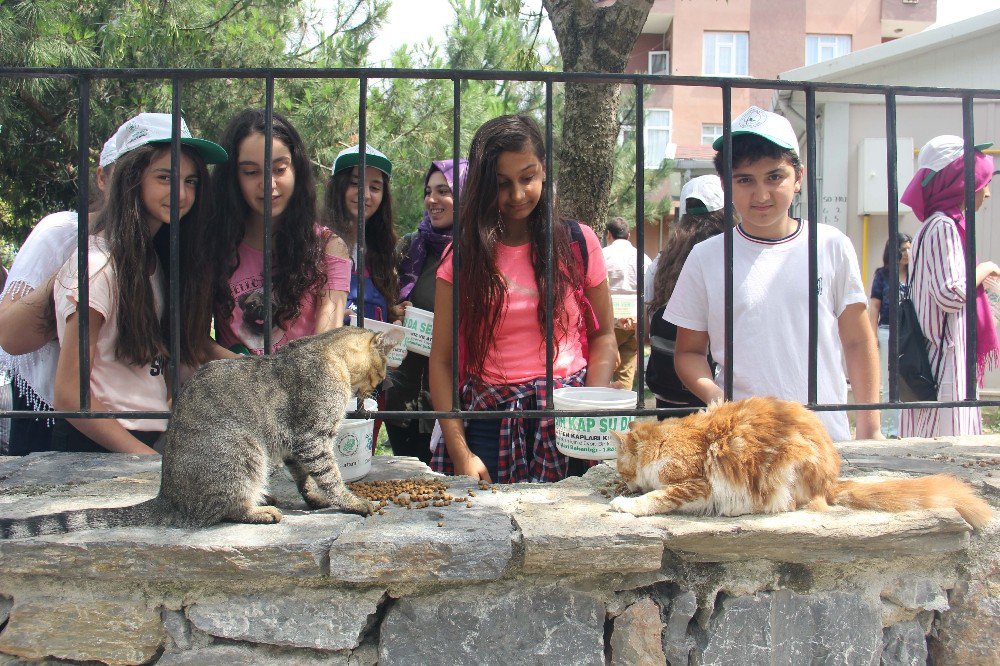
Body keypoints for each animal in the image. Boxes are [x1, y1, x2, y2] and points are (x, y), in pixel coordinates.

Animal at [4, 324, 402, 536]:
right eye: (382, 370)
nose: (382, 385)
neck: (328, 352)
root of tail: (167, 495)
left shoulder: (295, 446)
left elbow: (305, 479)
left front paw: (315, 499)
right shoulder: (312, 437)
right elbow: (331, 477)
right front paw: (351, 502)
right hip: (244, 449)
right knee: (222, 510)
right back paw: (259, 510)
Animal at [608, 394, 992, 528]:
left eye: (622, 467)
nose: (622, 481)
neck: (667, 439)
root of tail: (831, 479)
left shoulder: (697, 482)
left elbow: (659, 496)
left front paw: (626, 503)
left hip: (786, 470)